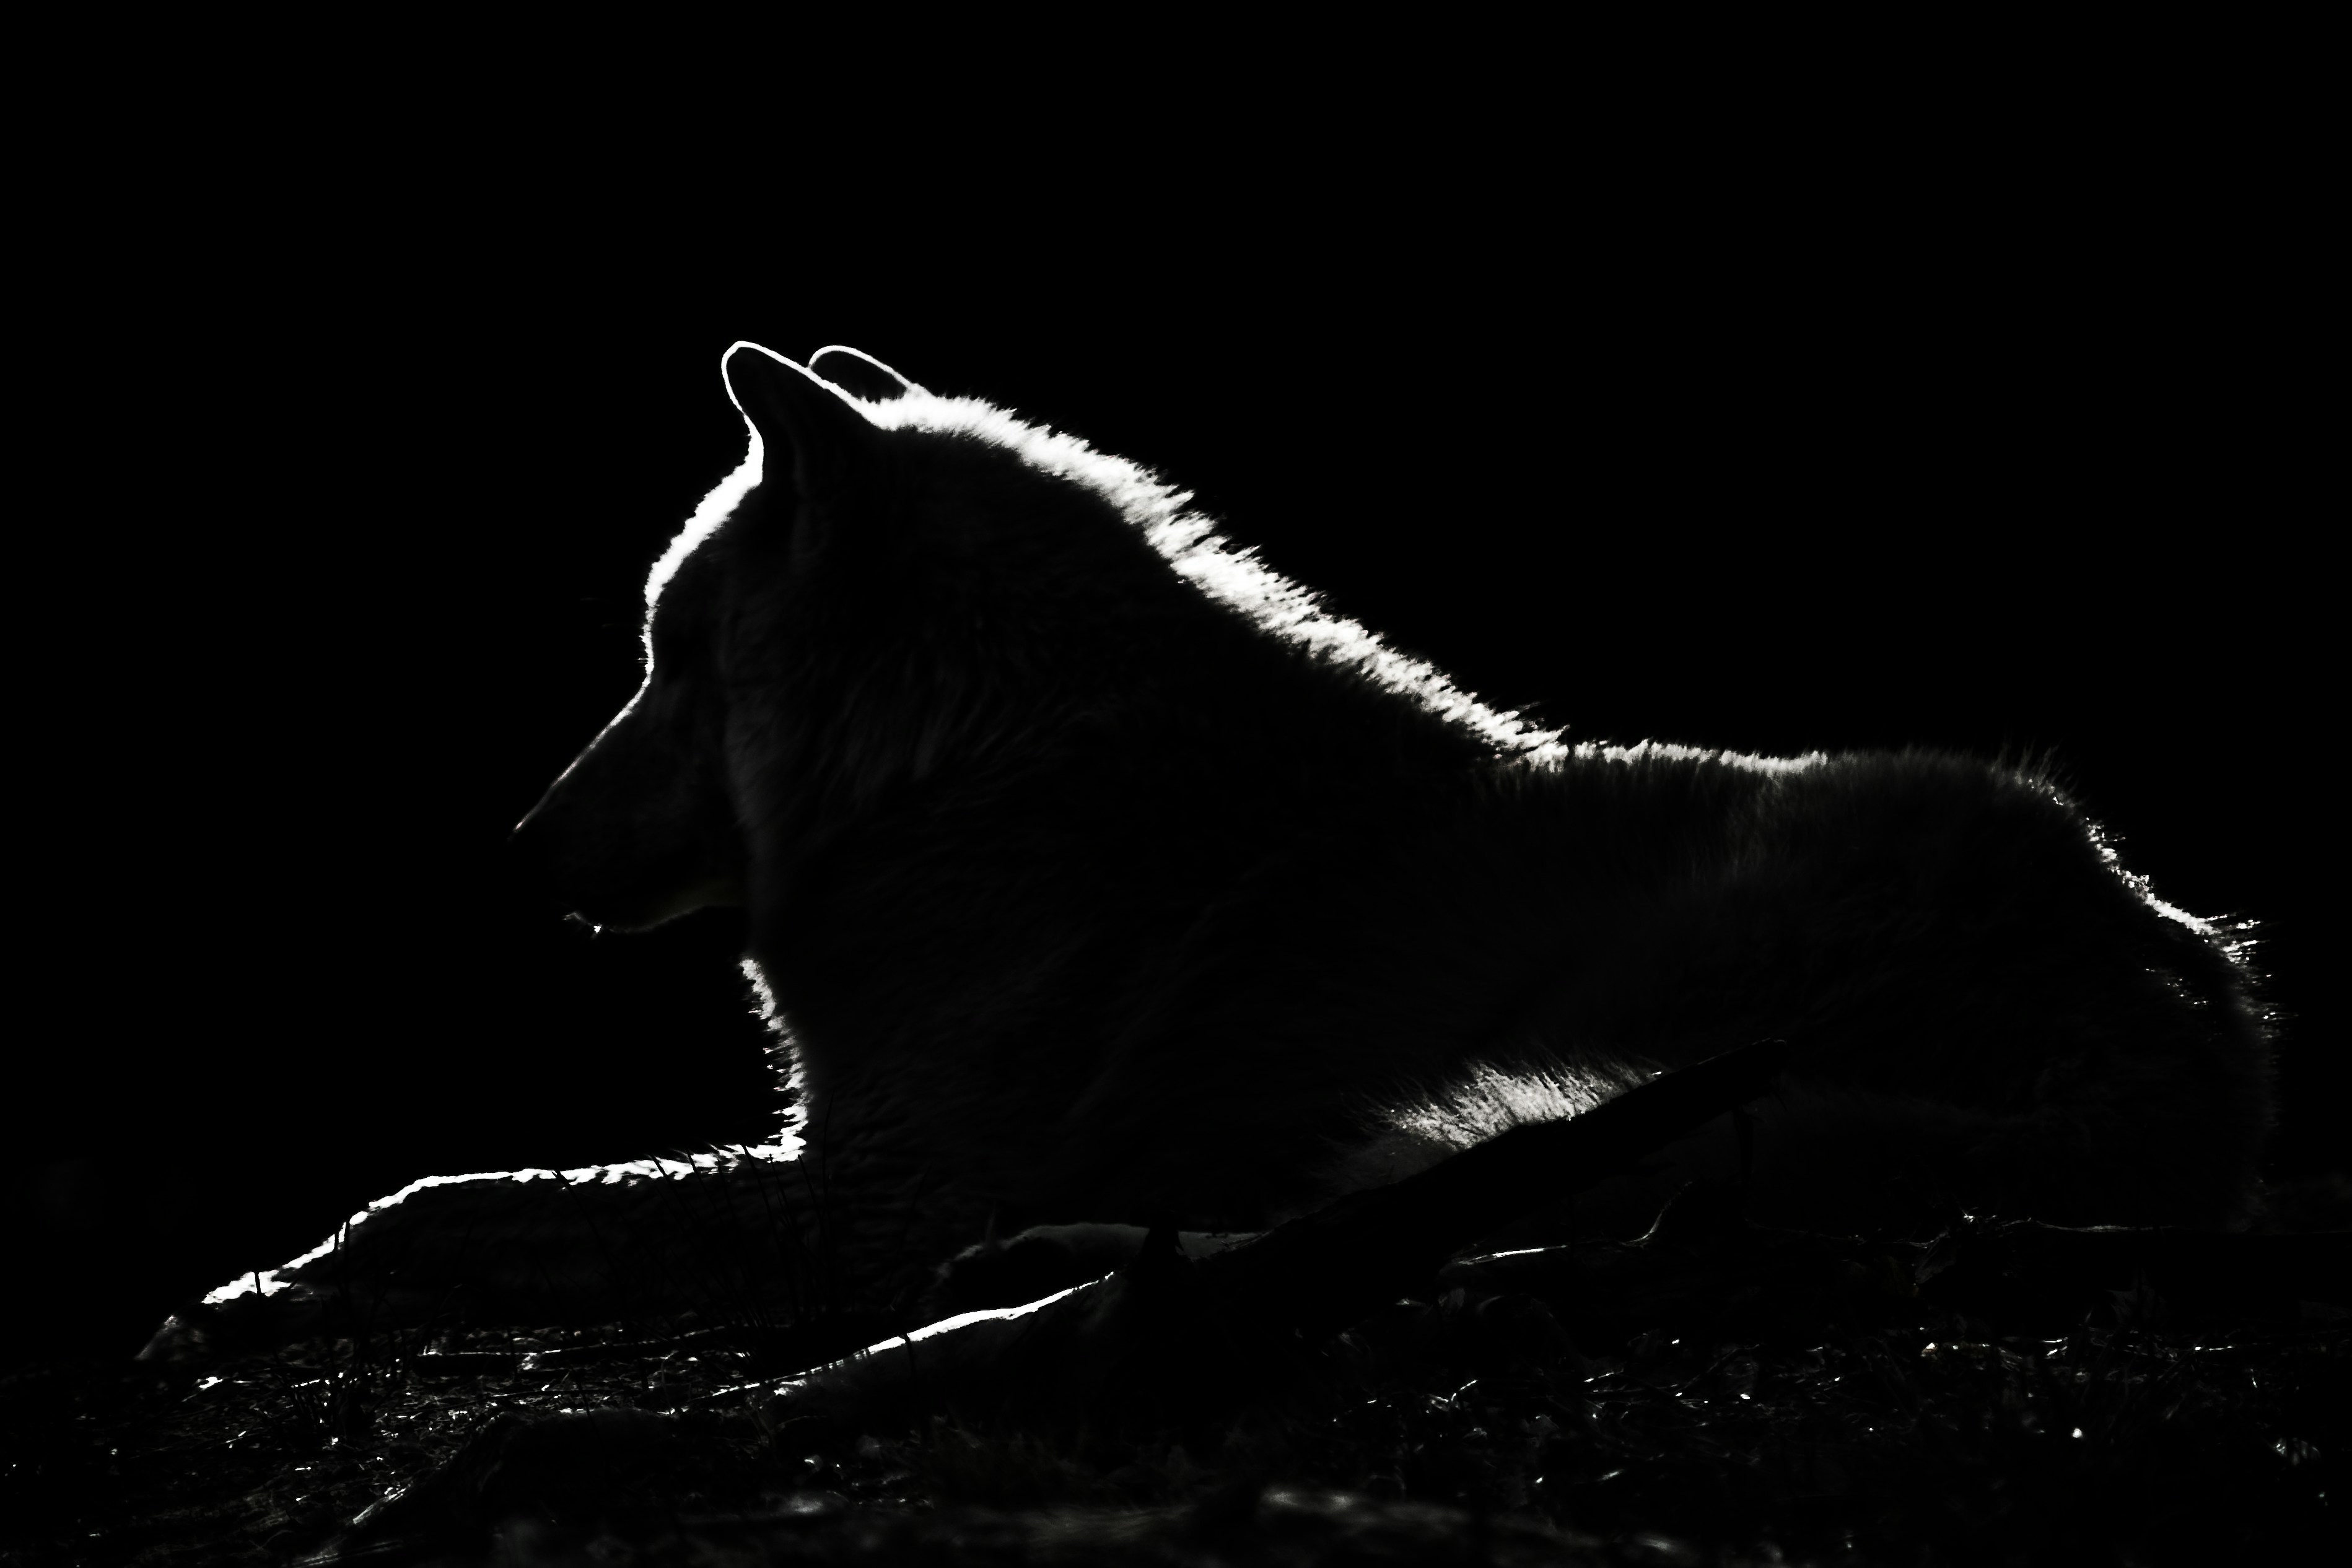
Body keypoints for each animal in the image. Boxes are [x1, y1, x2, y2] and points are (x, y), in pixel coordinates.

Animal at [144, 343, 2274, 1356]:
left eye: (669, 660)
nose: (520, 844)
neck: (969, 779)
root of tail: (2178, 1037)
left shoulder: (870, 1187)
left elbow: (466, 1200)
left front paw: (276, 1285)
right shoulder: (851, 1170)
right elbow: (483, 1195)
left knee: (1415, 1223)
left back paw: (1071, 1274)